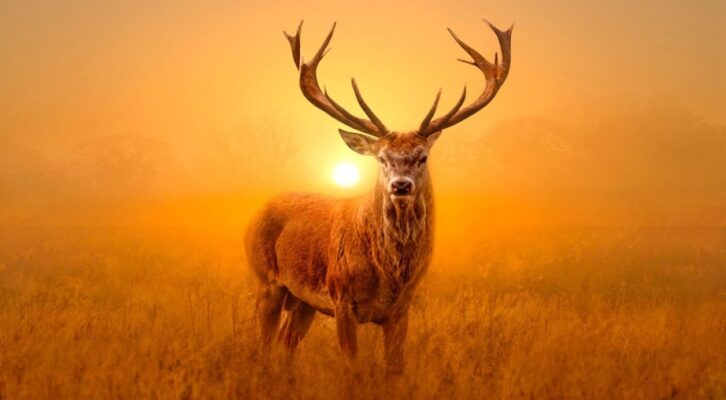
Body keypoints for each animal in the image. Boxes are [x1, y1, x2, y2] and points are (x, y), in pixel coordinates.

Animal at [245, 19, 512, 373]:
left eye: (422, 157)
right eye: (381, 158)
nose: (400, 185)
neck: (389, 277)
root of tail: (257, 212)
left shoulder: (402, 308)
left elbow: (395, 368)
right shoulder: (341, 297)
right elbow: (351, 367)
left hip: (303, 302)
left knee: (287, 344)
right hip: (267, 281)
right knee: (262, 345)